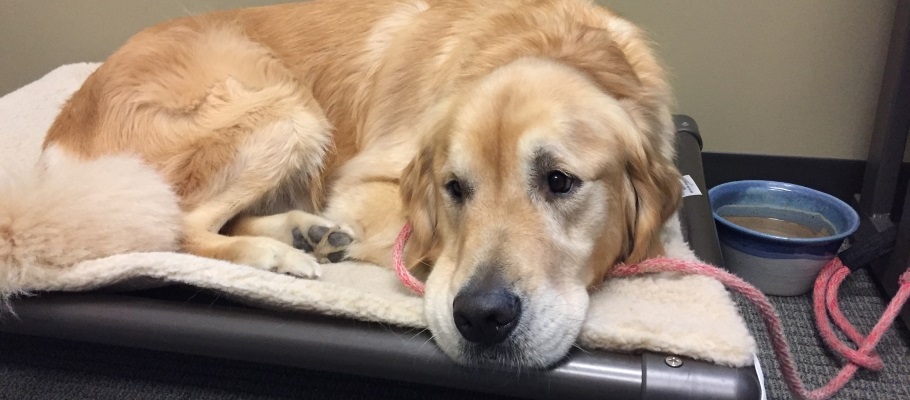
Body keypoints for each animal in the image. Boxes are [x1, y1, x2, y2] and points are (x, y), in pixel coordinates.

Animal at [1, 0, 684, 368]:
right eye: (452, 188)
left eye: (559, 181)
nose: (481, 318)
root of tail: (63, 135)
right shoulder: (368, 182)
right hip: (287, 109)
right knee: (178, 224)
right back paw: (276, 254)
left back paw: (305, 233)